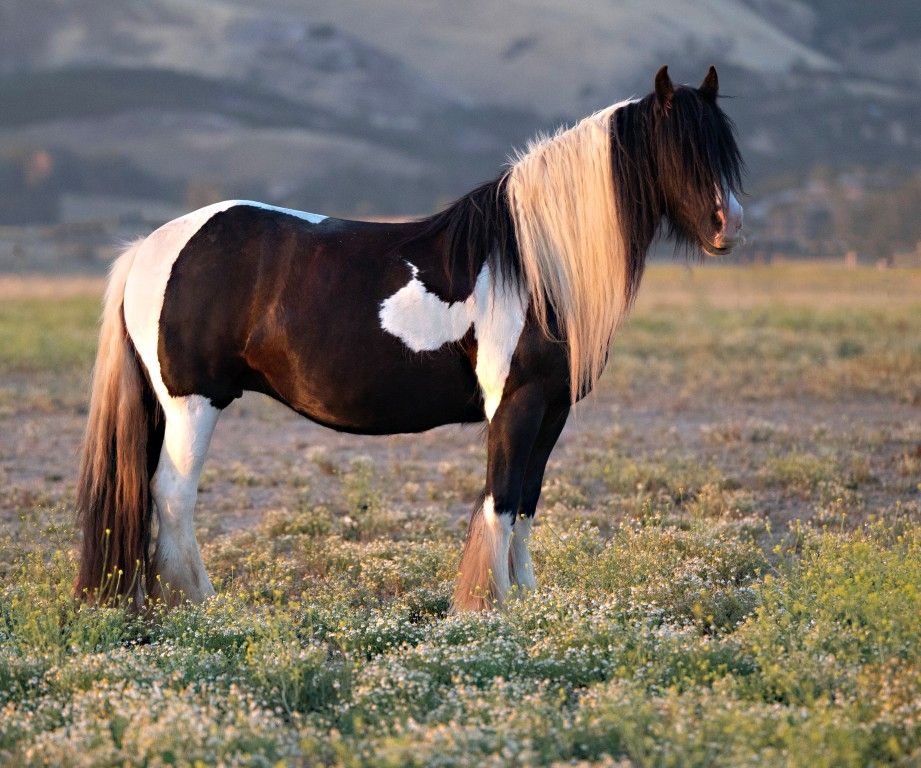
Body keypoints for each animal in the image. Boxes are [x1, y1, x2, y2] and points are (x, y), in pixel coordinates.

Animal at [75, 65, 744, 611]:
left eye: (724, 149)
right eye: (679, 151)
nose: (729, 226)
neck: (534, 262)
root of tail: (149, 247)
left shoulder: (551, 409)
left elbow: (527, 503)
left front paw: (527, 603)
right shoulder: (516, 404)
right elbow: (501, 502)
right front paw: (489, 606)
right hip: (193, 403)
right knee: (172, 497)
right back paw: (202, 607)